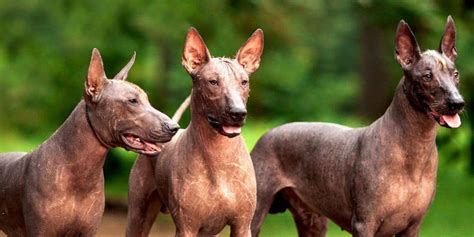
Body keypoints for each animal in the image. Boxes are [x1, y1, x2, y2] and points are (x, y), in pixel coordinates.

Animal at [0, 49, 179, 236]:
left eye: (147, 100)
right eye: (132, 101)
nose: (174, 127)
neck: (79, 173)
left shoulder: (89, 231)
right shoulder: (41, 232)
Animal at [126, 28, 262, 237]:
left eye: (244, 82)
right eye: (213, 82)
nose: (238, 113)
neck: (219, 156)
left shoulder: (242, 226)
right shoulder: (186, 228)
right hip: (138, 214)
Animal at [250, 15, 464, 236]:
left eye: (455, 74)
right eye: (427, 77)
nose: (458, 103)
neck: (414, 148)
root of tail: (265, 134)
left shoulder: (413, 227)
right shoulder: (364, 223)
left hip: (312, 221)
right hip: (254, 216)